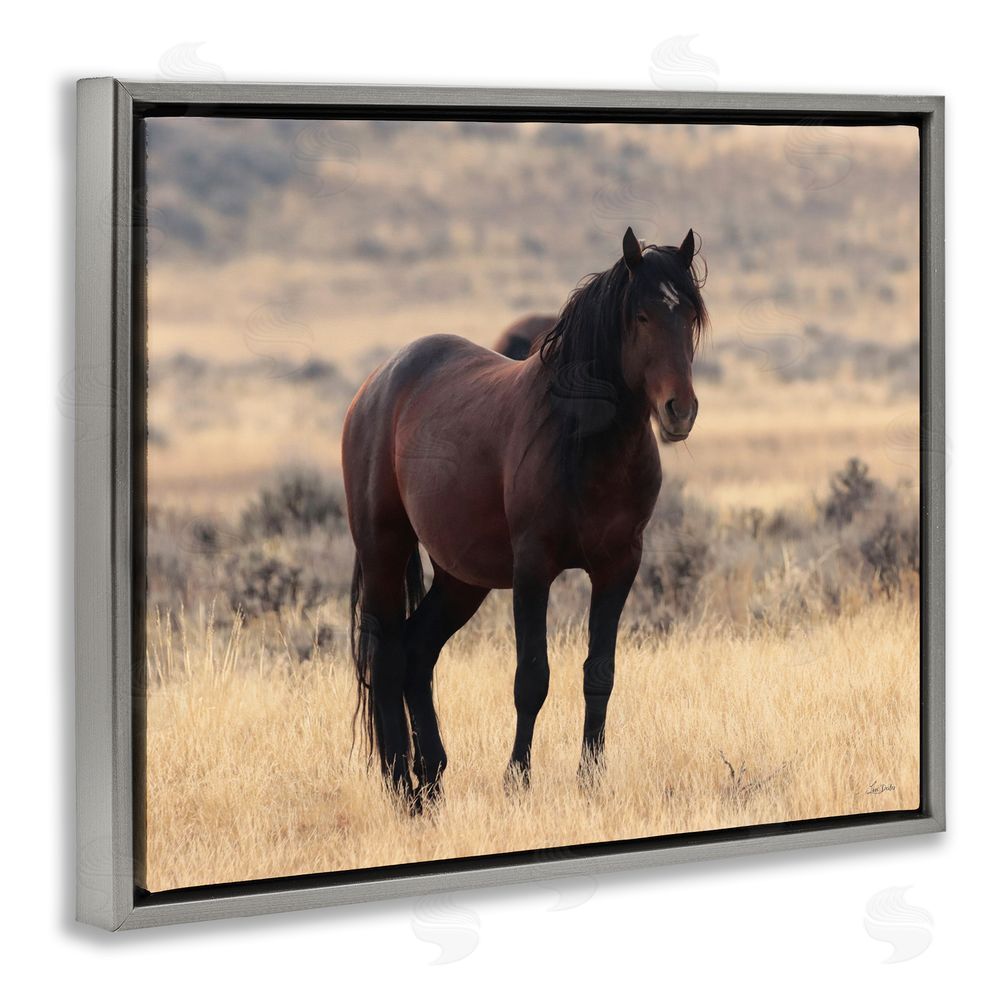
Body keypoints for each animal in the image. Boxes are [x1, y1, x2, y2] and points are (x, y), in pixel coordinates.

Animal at [342, 226, 707, 810]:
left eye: (690, 315)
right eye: (642, 316)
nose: (680, 411)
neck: (584, 443)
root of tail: (376, 384)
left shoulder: (619, 566)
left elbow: (599, 673)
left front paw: (591, 778)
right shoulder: (533, 569)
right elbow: (531, 678)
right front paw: (517, 778)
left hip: (461, 579)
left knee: (418, 653)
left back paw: (433, 778)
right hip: (383, 551)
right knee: (388, 654)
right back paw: (403, 787)